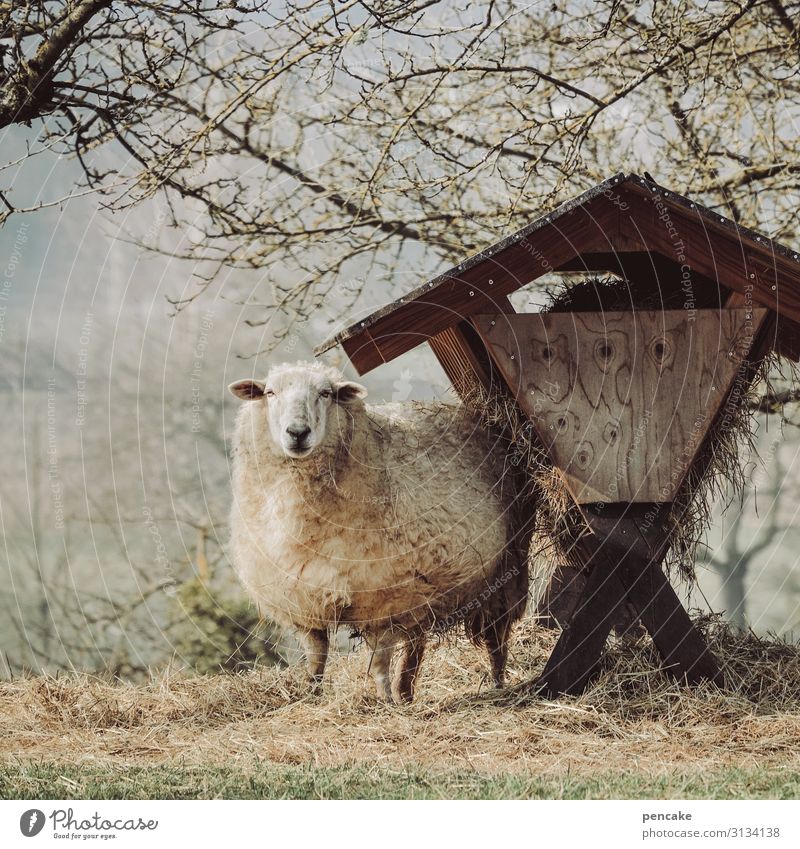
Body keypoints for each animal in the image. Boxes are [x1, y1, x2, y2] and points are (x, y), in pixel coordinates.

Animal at [230, 362, 532, 700]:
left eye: (326, 393)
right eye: (270, 392)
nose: (297, 433)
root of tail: (475, 414)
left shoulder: (383, 599)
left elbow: (378, 660)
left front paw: (383, 699)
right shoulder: (304, 598)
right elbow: (316, 655)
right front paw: (311, 692)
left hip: (507, 566)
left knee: (497, 635)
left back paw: (497, 683)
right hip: (423, 587)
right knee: (417, 641)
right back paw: (407, 691)